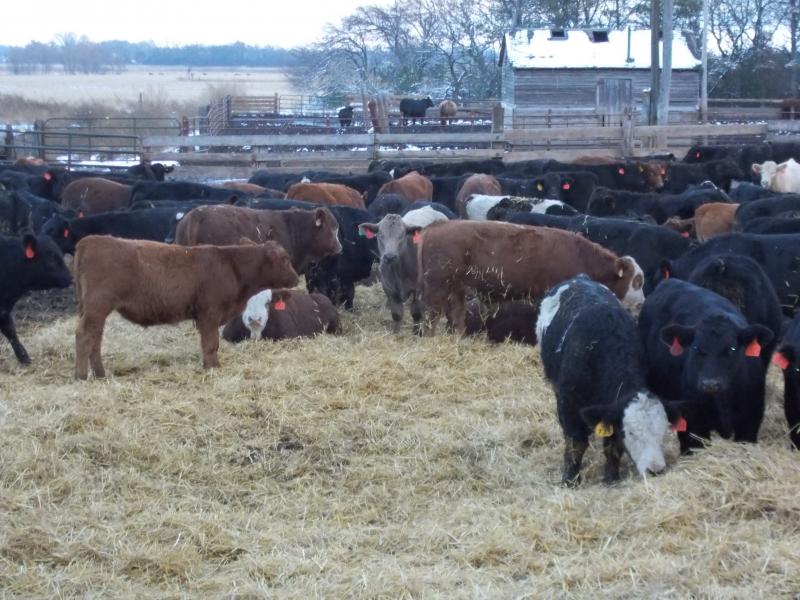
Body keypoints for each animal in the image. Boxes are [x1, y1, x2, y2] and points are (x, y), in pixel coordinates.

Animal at [74, 237, 298, 377]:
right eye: (285, 259)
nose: (296, 278)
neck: (232, 265)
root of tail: (90, 240)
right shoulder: (209, 313)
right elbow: (211, 343)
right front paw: (213, 367)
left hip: (94, 310)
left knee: (95, 338)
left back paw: (100, 373)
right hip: (97, 307)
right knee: (84, 335)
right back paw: (81, 375)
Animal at [417, 221, 645, 336]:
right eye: (637, 281)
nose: (642, 303)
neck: (582, 257)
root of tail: (434, 227)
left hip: (457, 288)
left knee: (456, 313)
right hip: (437, 286)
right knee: (431, 315)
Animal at [538, 274, 682, 485]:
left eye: (662, 431)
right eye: (630, 432)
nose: (655, 470)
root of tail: (579, 278)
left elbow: (612, 446)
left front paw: (611, 477)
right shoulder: (568, 404)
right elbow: (576, 443)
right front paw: (570, 479)